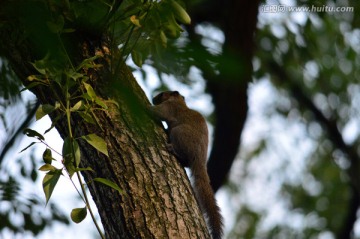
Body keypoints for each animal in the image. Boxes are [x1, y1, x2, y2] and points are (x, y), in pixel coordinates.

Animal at [148, 90, 222, 238]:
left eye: (162, 94)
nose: (153, 99)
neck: (180, 102)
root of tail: (200, 160)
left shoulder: (169, 107)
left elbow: (159, 113)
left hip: (179, 133)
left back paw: (173, 150)